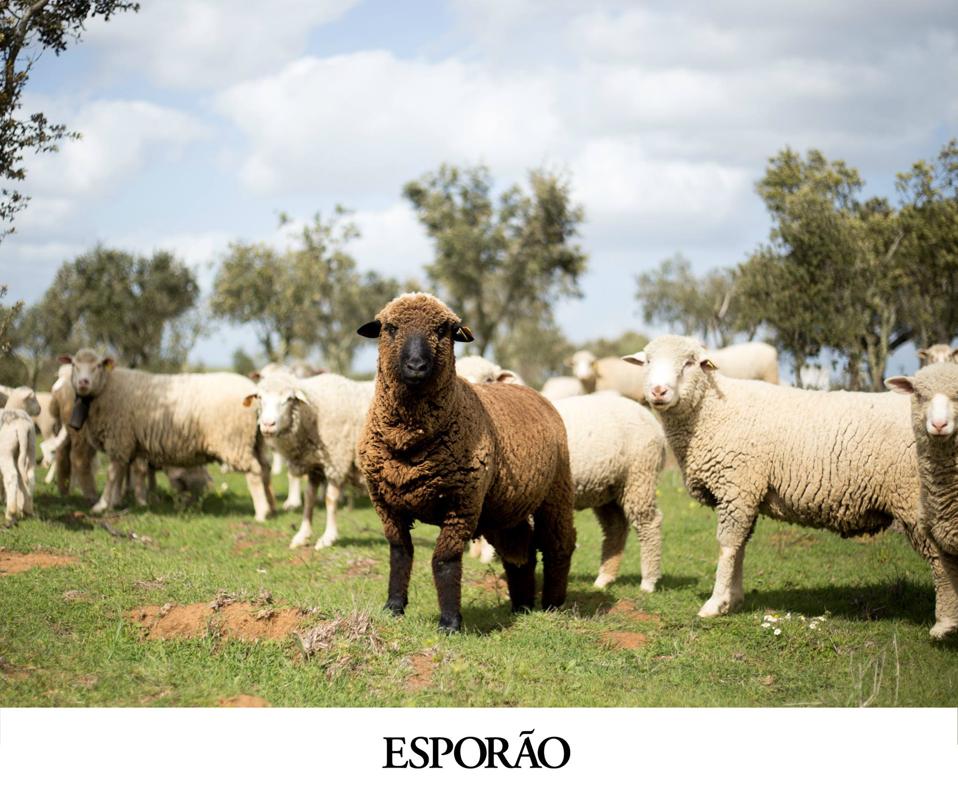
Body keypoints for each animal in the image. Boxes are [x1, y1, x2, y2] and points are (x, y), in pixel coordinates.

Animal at [58, 349, 275, 521]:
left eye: (96, 366)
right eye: (75, 365)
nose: (83, 382)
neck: (107, 387)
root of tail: (252, 391)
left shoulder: (119, 438)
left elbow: (113, 474)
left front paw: (101, 505)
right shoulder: (126, 442)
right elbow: (122, 474)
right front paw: (117, 501)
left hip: (234, 441)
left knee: (254, 471)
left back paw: (261, 513)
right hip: (256, 439)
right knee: (265, 467)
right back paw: (271, 507)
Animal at [243, 371, 374, 550]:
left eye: (289, 399)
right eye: (259, 397)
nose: (268, 424)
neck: (314, 411)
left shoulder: (337, 461)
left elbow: (330, 499)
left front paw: (328, 538)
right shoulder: (314, 465)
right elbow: (309, 498)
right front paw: (302, 536)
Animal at [357, 292, 577, 633]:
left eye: (443, 330)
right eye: (390, 328)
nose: (417, 366)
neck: (408, 442)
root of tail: (527, 389)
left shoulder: (461, 505)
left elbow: (444, 561)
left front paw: (449, 622)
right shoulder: (386, 503)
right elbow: (400, 553)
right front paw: (393, 607)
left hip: (556, 492)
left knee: (557, 546)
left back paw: (552, 604)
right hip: (503, 509)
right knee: (520, 552)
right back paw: (522, 606)